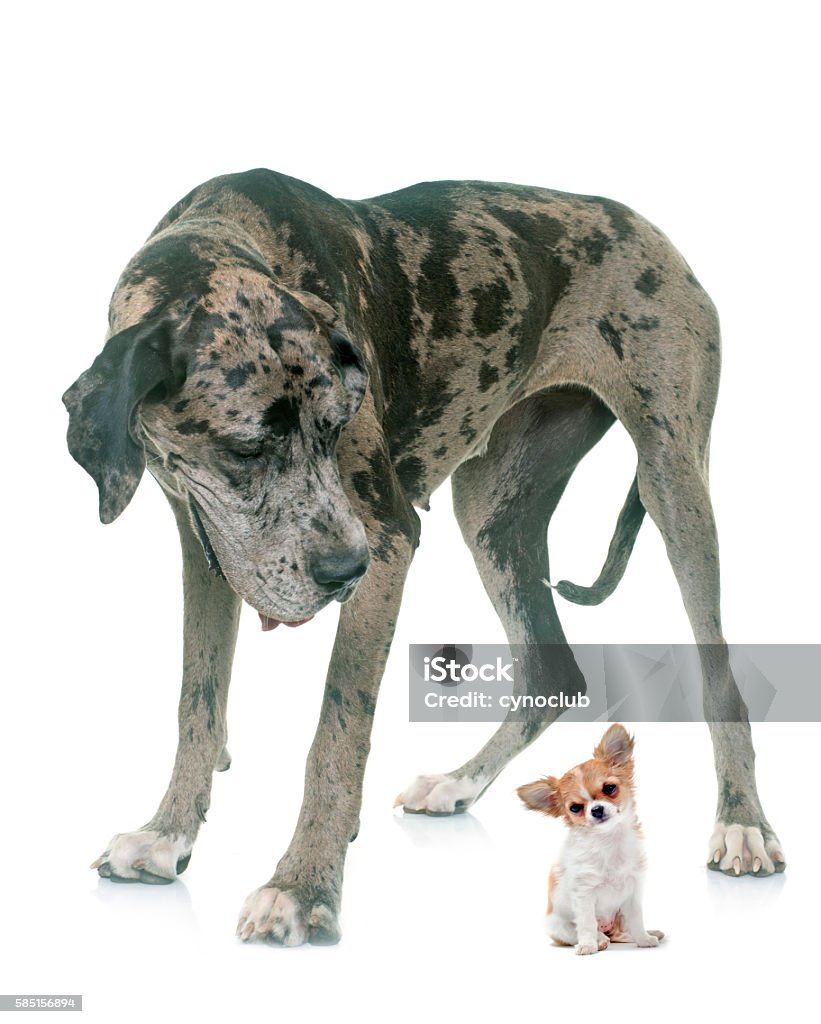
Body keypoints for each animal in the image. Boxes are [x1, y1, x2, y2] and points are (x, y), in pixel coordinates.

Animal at [517, 724, 659, 954]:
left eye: (609, 788)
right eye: (575, 808)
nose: (597, 810)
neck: (609, 841)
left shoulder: (633, 892)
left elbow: (637, 920)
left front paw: (644, 939)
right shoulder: (584, 894)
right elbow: (586, 923)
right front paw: (587, 945)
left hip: (618, 917)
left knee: (621, 932)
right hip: (558, 925)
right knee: (584, 931)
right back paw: (599, 940)